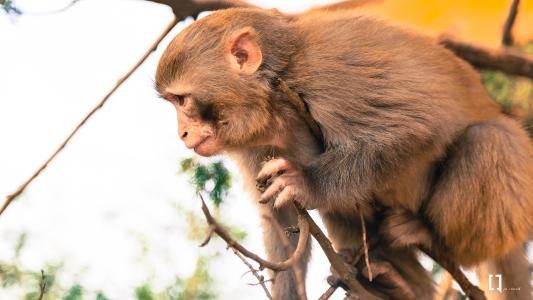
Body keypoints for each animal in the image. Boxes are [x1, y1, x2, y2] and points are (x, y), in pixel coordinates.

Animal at [154, 7, 532, 300]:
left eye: (182, 100)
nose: (182, 133)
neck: (273, 97)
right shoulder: (254, 141)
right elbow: (282, 217)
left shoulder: (328, 76)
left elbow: (416, 125)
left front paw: (306, 182)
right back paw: (400, 288)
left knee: (489, 139)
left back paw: (430, 235)